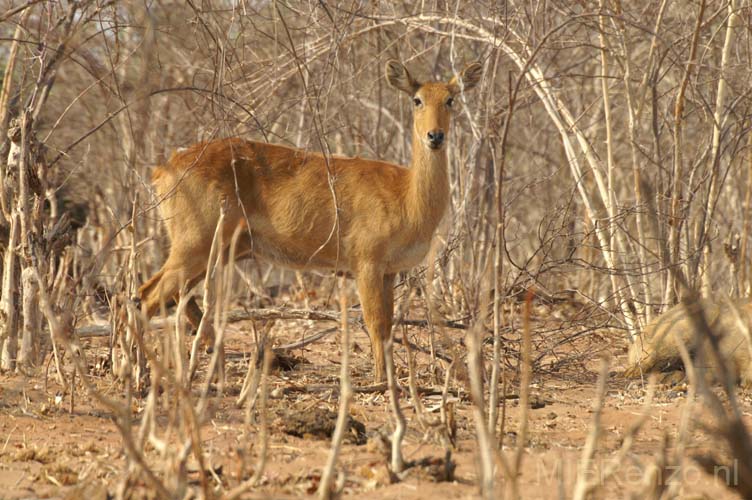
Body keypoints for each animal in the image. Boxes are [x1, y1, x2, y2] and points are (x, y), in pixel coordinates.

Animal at [137, 59, 482, 382]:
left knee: (175, 298)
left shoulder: (388, 272)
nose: (435, 136)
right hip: (193, 246)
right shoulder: (366, 264)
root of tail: (164, 169)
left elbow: (386, 325)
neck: (407, 195)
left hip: (215, 253)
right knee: (148, 295)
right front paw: (381, 383)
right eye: (417, 99)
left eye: (450, 99)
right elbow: (375, 323)